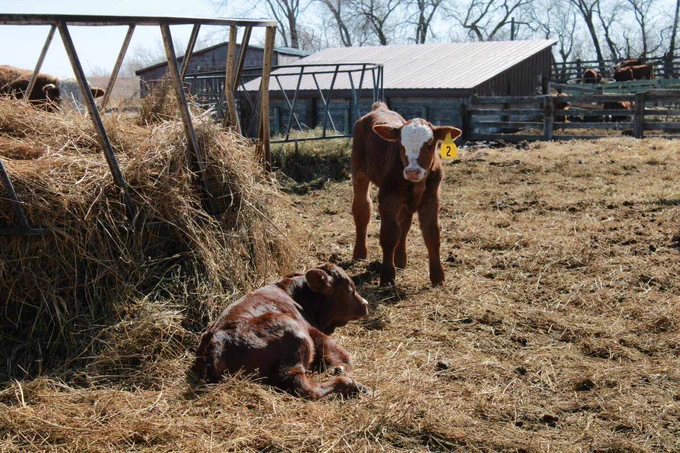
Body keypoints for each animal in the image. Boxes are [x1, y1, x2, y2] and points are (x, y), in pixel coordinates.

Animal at [193, 263, 369, 399]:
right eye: (348, 290)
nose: (366, 304)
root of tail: (218, 341)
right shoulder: (310, 329)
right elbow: (335, 349)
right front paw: (339, 367)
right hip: (295, 335)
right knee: (300, 384)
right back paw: (351, 386)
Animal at [351, 102, 462, 287]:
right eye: (401, 146)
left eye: (430, 144)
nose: (412, 172)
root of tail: (379, 107)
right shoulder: (387, 197)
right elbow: (389, 234)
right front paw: (387, 276)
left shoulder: (432, 198)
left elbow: (432, 233)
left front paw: (438, 277)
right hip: (358, 173)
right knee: (362, 209)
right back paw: (359, 253)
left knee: (404, 223)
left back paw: (400, 260)